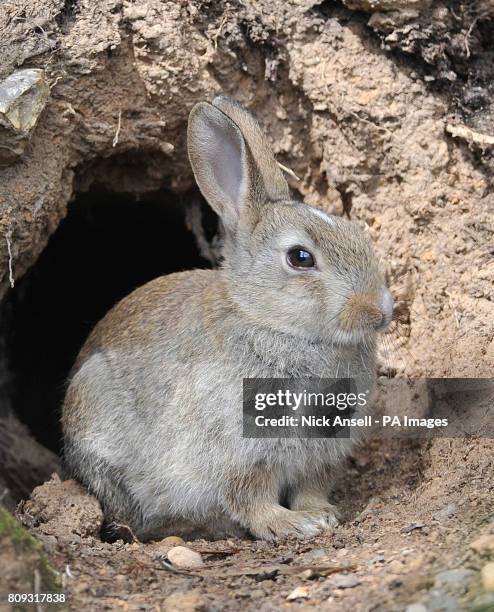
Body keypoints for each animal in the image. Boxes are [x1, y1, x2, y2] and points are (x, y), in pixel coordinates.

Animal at [62, 95, 394, 540]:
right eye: (300, 257)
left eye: (357, 233)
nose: (381, 310)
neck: (269, 322)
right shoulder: (242, 451)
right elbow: (251, 496)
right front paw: (290, 524)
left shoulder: (321, 453)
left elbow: (311, 486)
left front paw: (319, 513)